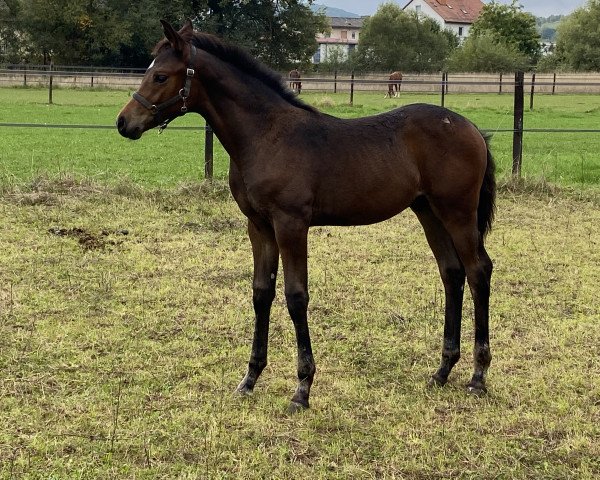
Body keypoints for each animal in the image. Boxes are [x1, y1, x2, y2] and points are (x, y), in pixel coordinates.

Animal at [117, 20, 496, 412]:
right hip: (428, 212)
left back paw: (478, 376)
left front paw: (302, 387)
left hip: (458, 212)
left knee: (478, 270)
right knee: (451, 273)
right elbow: (261, 292)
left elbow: (296, 296)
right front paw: (250, 379)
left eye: (160, 76)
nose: (124, 122)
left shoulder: (291, 224)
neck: (266, 136)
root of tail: (471, 129)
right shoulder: (259, 226)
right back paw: (442, 371)